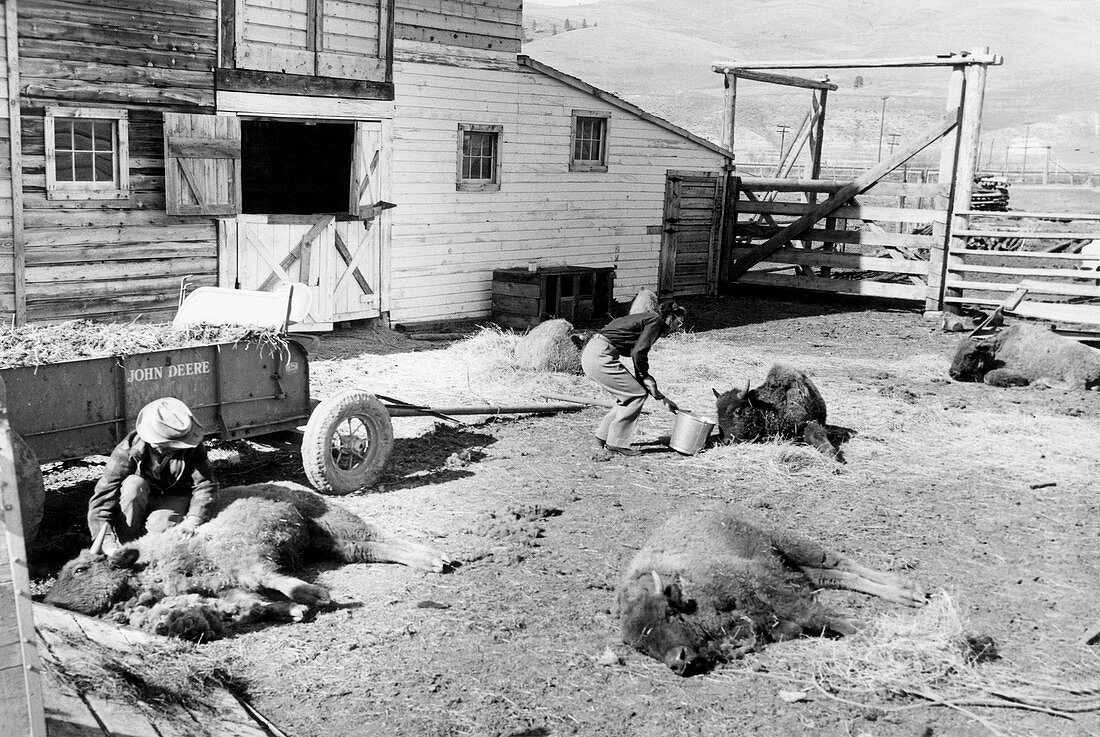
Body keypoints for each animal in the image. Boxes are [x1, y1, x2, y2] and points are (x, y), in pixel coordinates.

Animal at [46, 481, 451, 638]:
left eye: (79, 569)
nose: (49, 600)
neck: (154, 559)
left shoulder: (248, 562)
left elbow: (276, 582)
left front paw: (315, 596)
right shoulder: (226, 590)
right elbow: (260, 602)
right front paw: (295, 610)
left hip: (330, 519)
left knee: (378, 536)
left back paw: (436, 558)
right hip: (326, 541)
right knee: (368, 548)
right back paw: (431, 561)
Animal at [616, 510, 924, 677]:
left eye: (669, 613)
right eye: (641, 647)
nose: (679, 661)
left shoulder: (764, 584)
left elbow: (813, 614)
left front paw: (865, 628)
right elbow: (791, 625)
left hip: (790, 542)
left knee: (839, 563)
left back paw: (910, 591)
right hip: (796, 565)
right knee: (835, 576)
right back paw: (908, 593)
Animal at [712, 365, 840, 462]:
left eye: (738, 411)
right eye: (718, 414)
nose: (725, 441)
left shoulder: (807, 422)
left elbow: (817, 434)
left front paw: (832, 454)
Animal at [946, 325, 1100, 391]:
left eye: (969, 356)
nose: (952, 373)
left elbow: (988, 376)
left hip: (1071, 372)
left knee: (1076, 386)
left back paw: (1040, 382)